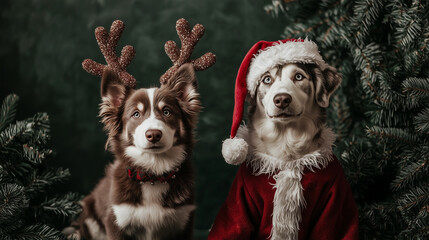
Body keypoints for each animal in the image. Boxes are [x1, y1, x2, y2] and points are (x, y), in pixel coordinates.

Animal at [72, 63, 200, 240]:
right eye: (136, 114)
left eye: (167, 111)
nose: (153, 134)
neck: (153, 173)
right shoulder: (116, 220)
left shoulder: (184, 220)